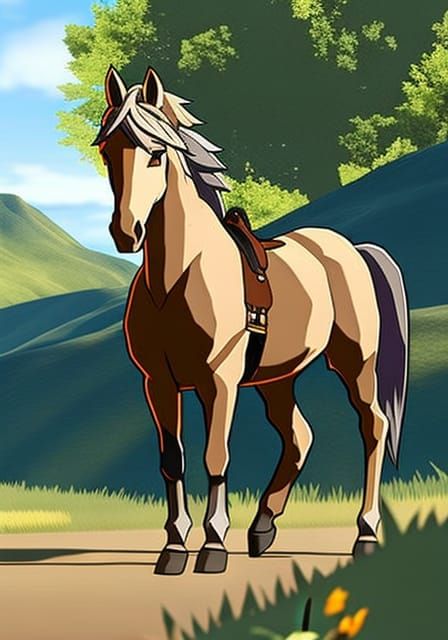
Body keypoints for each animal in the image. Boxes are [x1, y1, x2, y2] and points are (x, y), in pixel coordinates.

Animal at [94, 65, 409, 575]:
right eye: (106, 151)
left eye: (156, 153)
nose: (126, 233)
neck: (180, 275)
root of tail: (351, 249)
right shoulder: (158, 383)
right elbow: (172, 459)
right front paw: (174, 547)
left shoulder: (218, 382)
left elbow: (215, 456)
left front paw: (213, 545)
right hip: (276, 378)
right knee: (299, 436)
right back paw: (263, 527)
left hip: (355, 364)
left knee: (373, 426)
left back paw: (364, 532)